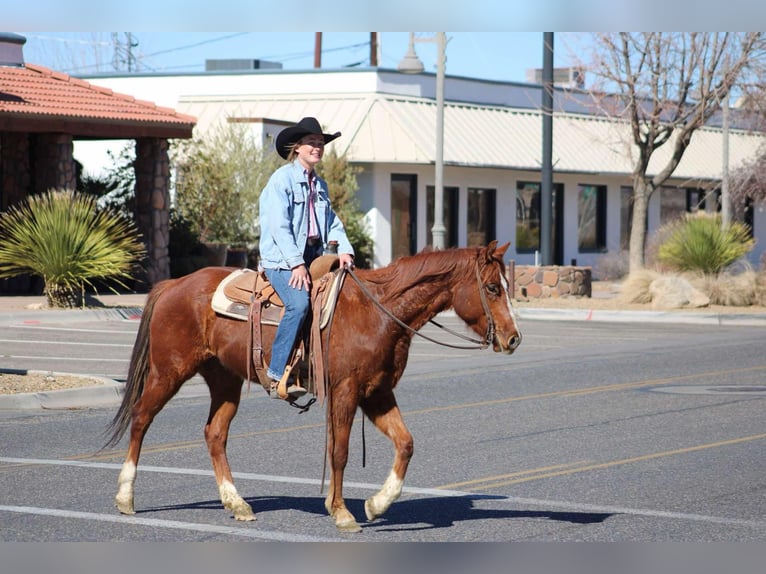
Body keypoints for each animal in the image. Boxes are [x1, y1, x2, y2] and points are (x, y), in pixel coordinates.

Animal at [106, 241, 520, 532]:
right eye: (491, 288)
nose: (514, 338)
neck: (378, 312)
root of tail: (174, 283)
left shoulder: (377, 393)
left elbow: (405, 443)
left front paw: (377, 504)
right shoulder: (346, 392)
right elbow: (340, 452)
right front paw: (341, 512)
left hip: (224, 379)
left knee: (215, 433)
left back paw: (237, 504)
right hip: (169, 371)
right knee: (141, 419)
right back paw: (125, 496)